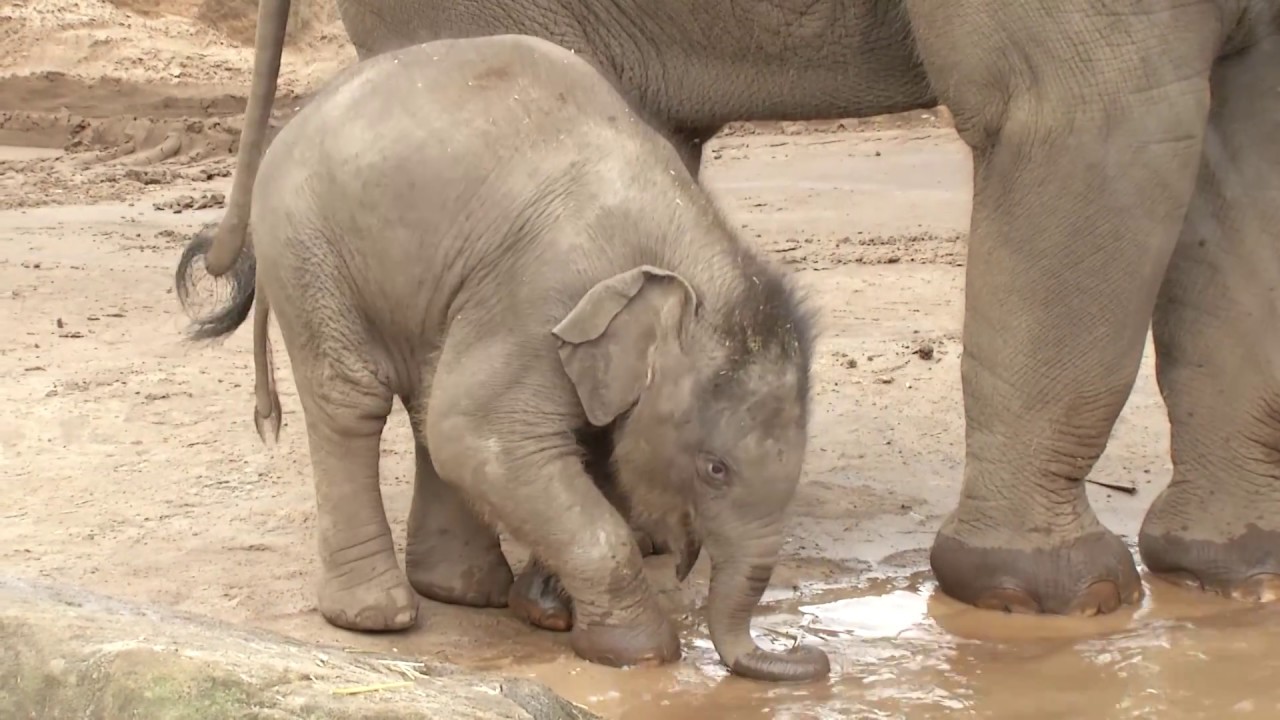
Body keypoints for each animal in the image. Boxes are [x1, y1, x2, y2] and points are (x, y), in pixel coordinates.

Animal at [175, 34, 831, 681]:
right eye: (715, 468)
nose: (810, 653)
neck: (684, 250)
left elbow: (585, 447)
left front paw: (546, 609)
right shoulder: (540, 293)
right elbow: (478, 436)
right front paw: (635, 652)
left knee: (425, 399)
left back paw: (464, 591)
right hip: (310, 249)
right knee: (356, 401)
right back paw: (378, 617)